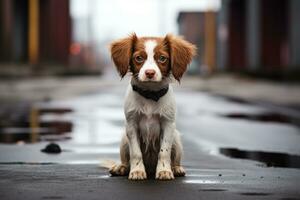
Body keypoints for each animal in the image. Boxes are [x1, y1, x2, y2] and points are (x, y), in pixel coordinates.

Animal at [109, 33, 196, 180]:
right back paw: (121, 167)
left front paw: (164, 171)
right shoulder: (131, 124)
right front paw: (137, 171)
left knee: (175, 159)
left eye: (162, 58)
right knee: (126, 160)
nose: (150, 73)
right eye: (139, 58)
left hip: (176, 138)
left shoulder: (168, 124)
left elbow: (164, 151)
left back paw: (176, 168)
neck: (150, 94)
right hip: (124, 140)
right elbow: (136, 152)